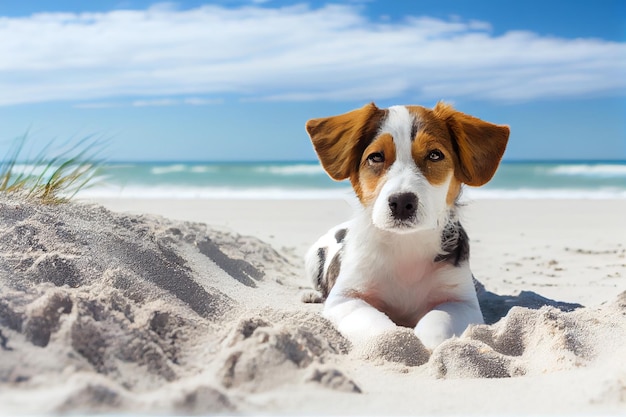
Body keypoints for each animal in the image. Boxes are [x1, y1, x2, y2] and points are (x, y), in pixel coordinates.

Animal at [302, 102, 508, 350]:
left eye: (435, 155)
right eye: (376, 157)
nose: (401, 203)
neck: (406, 243)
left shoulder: (462, 302)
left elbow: (437, 321)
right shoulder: (346, 299)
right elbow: (379, 327)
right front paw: (398, 342)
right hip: (313, 258)